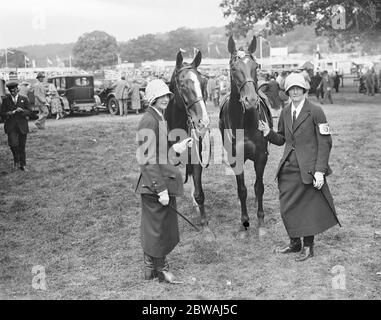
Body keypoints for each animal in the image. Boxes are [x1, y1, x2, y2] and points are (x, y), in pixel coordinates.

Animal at [218, 36, 272, 231]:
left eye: (256, 66)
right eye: (234, 68)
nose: (251, 101)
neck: (245, 123)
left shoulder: (261, 156)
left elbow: (259, 187)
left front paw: (261, 219)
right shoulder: (236, 158)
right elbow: (242, 190)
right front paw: (244, 220)